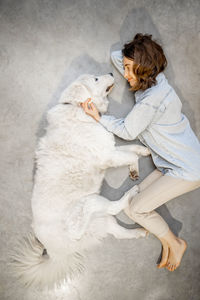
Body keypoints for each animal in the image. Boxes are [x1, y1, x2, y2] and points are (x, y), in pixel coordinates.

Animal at [9, 72, 150, 288]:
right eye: (95, 79)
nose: (111, 73)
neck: (77, 108)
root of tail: (55, 253)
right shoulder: (107, 156)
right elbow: (130, 155)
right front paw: (135, 165)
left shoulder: (109, 148)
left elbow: (131, 149)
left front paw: (143, 152)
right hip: (89, 204)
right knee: (111, 209)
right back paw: (130, 194)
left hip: (101, 221)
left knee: (118, 231)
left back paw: (139, 232)